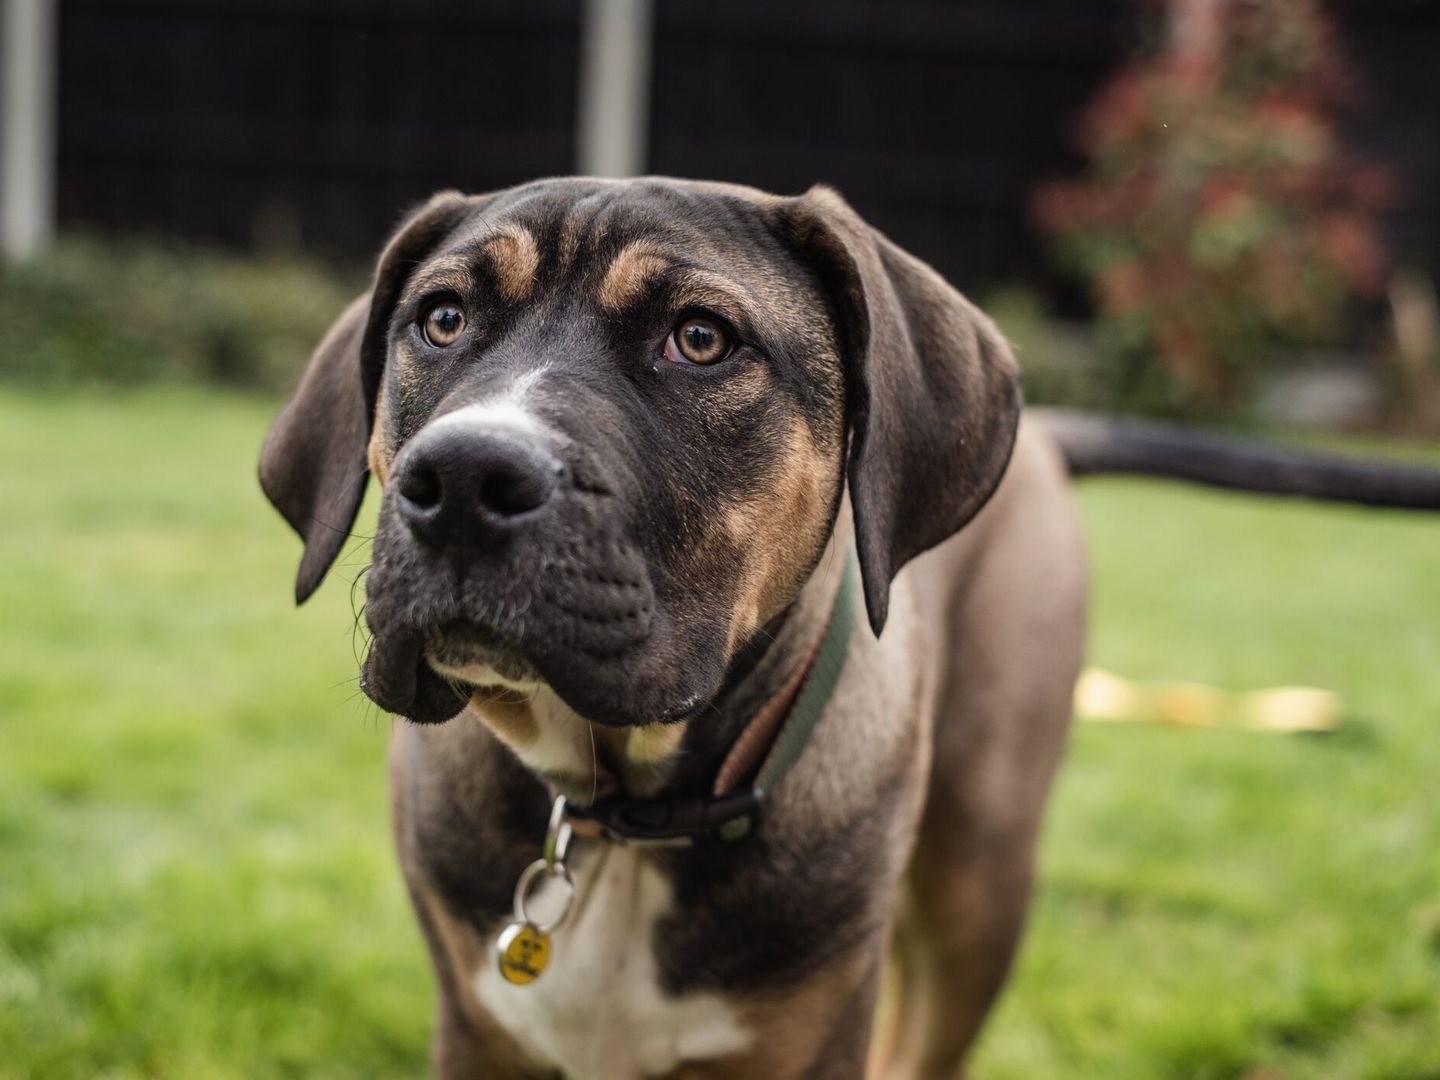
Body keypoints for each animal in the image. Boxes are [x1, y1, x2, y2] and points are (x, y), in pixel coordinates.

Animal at [262, 173, 1440, 1077]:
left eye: (701, 339)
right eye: (442, 319)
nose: (463, 478)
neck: (625, 817)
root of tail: (1043, 436)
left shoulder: (810, 1035)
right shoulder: (478, 1028)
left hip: (978, 875)